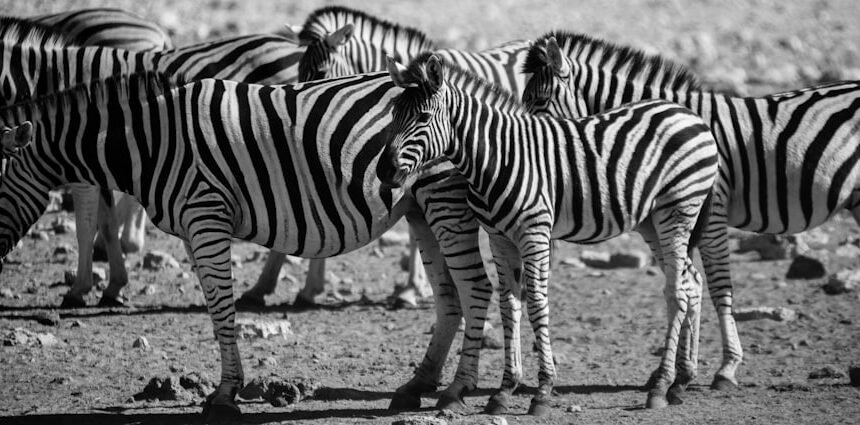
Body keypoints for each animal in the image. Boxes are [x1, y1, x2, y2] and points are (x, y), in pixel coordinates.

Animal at [0, 18, 317, 308]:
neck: (46, 79)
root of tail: (293, 46)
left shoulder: (78, 164)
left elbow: (86, 227)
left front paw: (79, 290)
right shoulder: (93, 164)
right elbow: (106, 223)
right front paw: (113, 285)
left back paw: (277, 289)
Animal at [0, 69, 496, 420]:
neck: (150, 142)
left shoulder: (206, 216)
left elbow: (223, 310)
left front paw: (225, 394)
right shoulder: (193, 228)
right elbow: (214, 308)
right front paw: (226, 388)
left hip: (443, 195)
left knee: (476, 288)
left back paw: (456, 393)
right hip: (417, 208)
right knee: (449, 297)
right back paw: (417, 386)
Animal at [379, 54, 719, 413]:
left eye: (423, 117)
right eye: (393, 114)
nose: (384, 171)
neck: (495, 159)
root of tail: (689, 114)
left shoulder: (535, 232)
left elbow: (537, 304)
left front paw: (542, 391)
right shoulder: (500, 238)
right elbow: (509, 304)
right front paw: (504, 390)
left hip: (678, 209)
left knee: (677, 291)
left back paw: (661, 386)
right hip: (652, 221)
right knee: (692, 281)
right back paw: (681, 381)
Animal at [520, 31, 860, 392]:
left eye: (540, 101)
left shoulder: (712, 211)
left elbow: (717, 287)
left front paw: (726, 367)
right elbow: (686, 281)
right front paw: (681, 370)